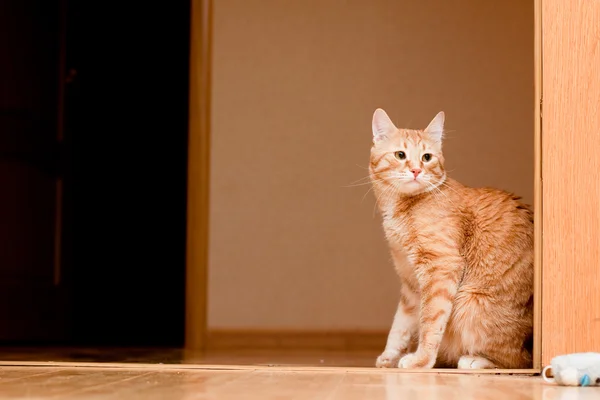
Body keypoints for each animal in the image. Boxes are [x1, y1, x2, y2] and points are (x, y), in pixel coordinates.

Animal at [370, 108, 536, 368]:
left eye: (427, 157)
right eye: (400, 155)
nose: (416, 170)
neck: (401, 209)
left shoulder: (441, 267)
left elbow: (430, 321)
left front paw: (421, 360)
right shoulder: (410, 284)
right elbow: (400, 324)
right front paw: (390, 355)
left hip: (470, 302)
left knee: (518, 360)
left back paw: (475, 361)